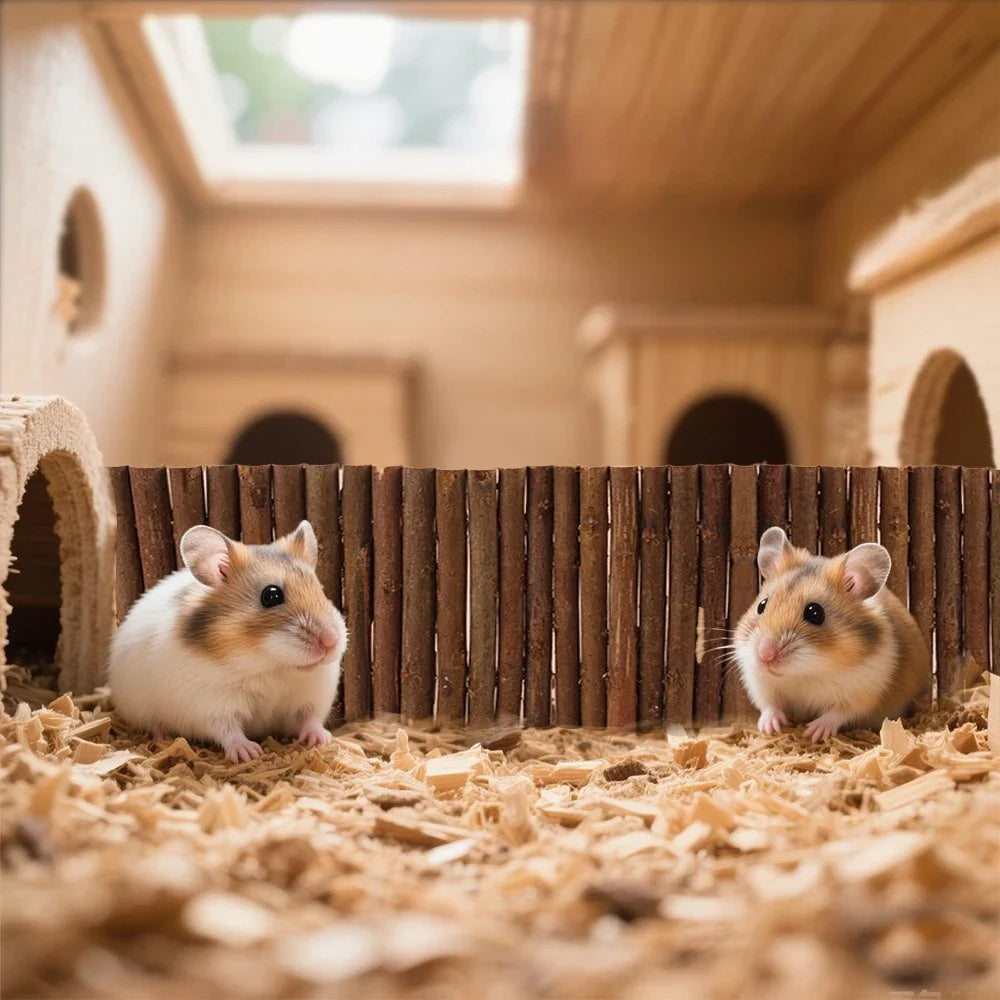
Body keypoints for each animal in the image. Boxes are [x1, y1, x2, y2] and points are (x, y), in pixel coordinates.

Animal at [108, 520, 347, 763]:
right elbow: (228, 730)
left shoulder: (312, 696)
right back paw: (162, 736)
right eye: (271, 595)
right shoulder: (211, 704)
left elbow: (310, 718)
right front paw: (248, 754)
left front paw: (321, 740)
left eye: (321, 589)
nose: (331, 642)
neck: (269, 667)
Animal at [734, 526, 928, 742]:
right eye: (761, 605)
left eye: (815, 613)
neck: (807, 672)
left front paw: (813, 733)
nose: (765, 655)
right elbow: (769, 705)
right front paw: (770, 728)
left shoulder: (863, 691)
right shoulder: (760, 683)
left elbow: (838, 712)